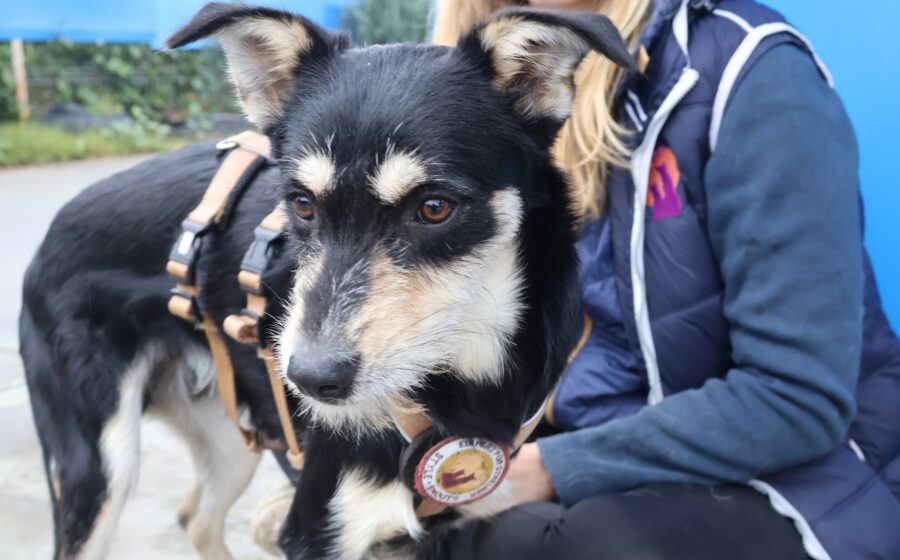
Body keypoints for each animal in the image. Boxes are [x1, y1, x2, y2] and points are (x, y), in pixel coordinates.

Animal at [20, 3, 631, 558]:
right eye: (301, 204)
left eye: (434, 207)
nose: (312, 381)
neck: (466, 379)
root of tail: (48, 236)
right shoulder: (318, 531)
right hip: (99, 468)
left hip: (229, 437)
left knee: (195, 515)